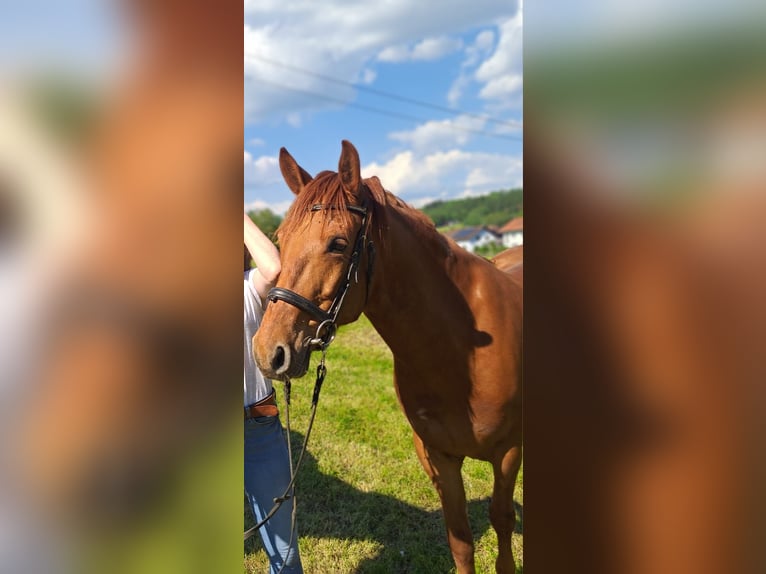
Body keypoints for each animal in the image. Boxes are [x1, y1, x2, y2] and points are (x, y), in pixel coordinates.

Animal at [253, 140, 523, 574]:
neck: (461, 354)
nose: (267, 352)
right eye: (281, 238)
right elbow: (461, 540)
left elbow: (501, 520)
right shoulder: (439, 457)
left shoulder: (508, 452)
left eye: (338, 244)